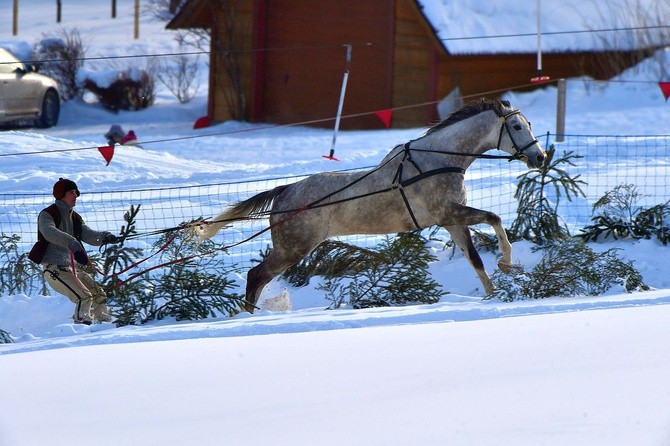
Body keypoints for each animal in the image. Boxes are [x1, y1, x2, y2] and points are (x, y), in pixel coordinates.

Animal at [193, 99, 544, 312]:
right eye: (516, 127)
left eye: (528, 124)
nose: (539, 157)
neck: (438, 161)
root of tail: (284, 191)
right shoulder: (449, 214)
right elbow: (494, 217)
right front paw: (508, 263)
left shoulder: (452, 223)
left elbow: (476, 260)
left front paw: (495, 292)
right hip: (293, 249)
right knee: (255, 276)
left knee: (258, 278)